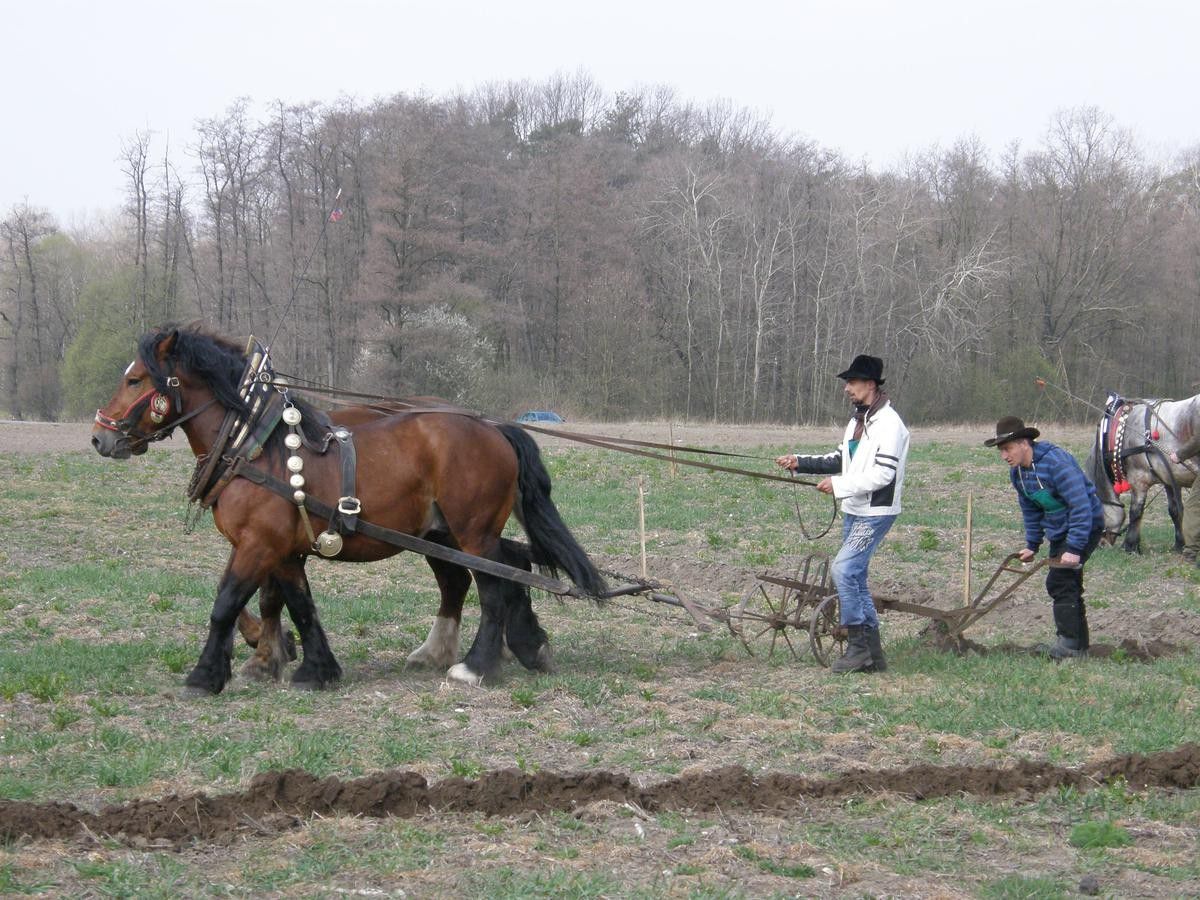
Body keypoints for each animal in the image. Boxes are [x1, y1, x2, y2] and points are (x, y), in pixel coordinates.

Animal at [91, 325, 607, 695]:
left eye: (134, 379)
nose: (100, 438)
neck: (253, 444)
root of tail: (492, 426)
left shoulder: (258, 543)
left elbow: (226, 603)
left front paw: (205, 677)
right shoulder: (282, 549)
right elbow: (297, 605)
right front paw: (313, 668)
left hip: (472, 532)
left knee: (495, 587)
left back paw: (475, 667)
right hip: (442, 534)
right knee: (487, 572)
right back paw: (503, 648)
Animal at [1084, 393, 1200, 553]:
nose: (1101, 544)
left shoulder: (1138, 479)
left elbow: (1135, 511)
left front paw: (1130, 546)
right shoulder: (1169, 478)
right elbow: (1175, 510)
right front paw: (1179, 544)